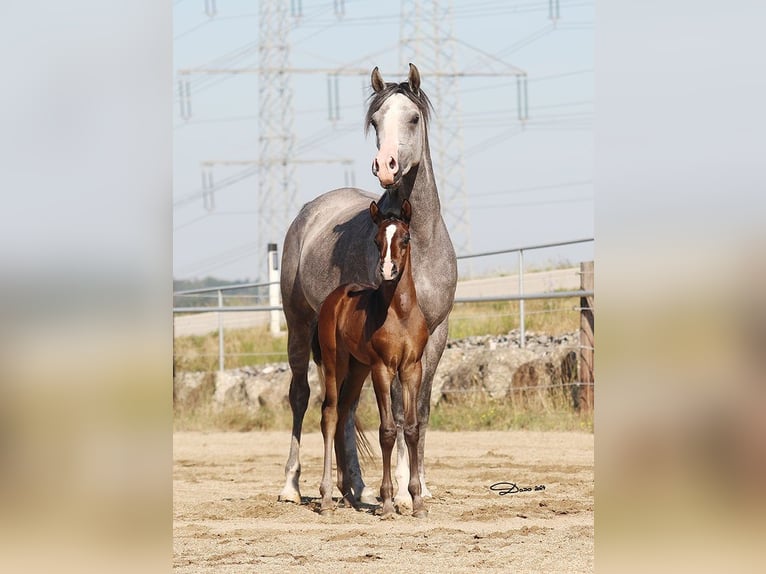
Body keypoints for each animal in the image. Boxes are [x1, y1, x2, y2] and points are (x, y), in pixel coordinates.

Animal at [280, 63, 456, 510]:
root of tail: (310, 211)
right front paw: (404, 490)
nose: (386, 166)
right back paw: (293, 485)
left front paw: (421, 485)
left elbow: (420, 410)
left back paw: (353, 487)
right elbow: (394, 409)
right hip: (299, 326)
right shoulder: (386, 346)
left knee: (345, 407)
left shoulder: (436, 335)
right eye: (375, 121)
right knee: (302, 397)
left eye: (413, 118)